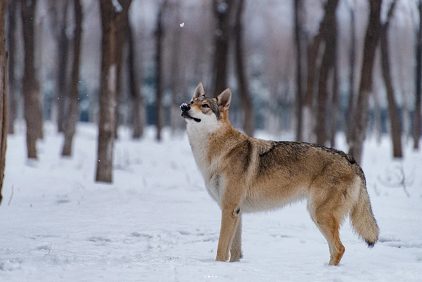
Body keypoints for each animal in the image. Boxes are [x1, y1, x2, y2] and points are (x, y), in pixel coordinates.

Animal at [181, 82, 380, 266]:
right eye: (192, 101)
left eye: (204, 106)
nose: (184, 106)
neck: (216, 152)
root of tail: (351, 160)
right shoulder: (236, 211)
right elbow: (235, 251)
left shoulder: (229, 209)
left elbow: (221, 249)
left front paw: (218, 267)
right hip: (318, 214)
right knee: (336, 249)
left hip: (318, 214)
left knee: (339, 248)